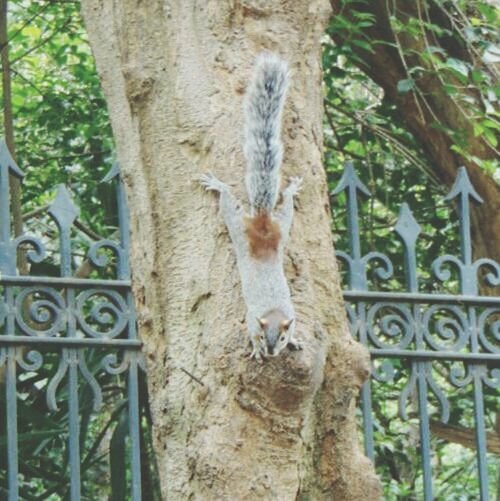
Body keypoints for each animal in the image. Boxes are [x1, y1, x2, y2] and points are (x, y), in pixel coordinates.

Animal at [200, 53, 302, 360]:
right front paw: (256, 350)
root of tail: (263, 222)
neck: (272, 310)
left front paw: (295, 340)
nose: (271, 351)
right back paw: (219, 185)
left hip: (279, 225)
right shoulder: (250, 318)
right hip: (244, 225)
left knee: (284, 206)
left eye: (282, 337)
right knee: (229, 203)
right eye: (262, 334)